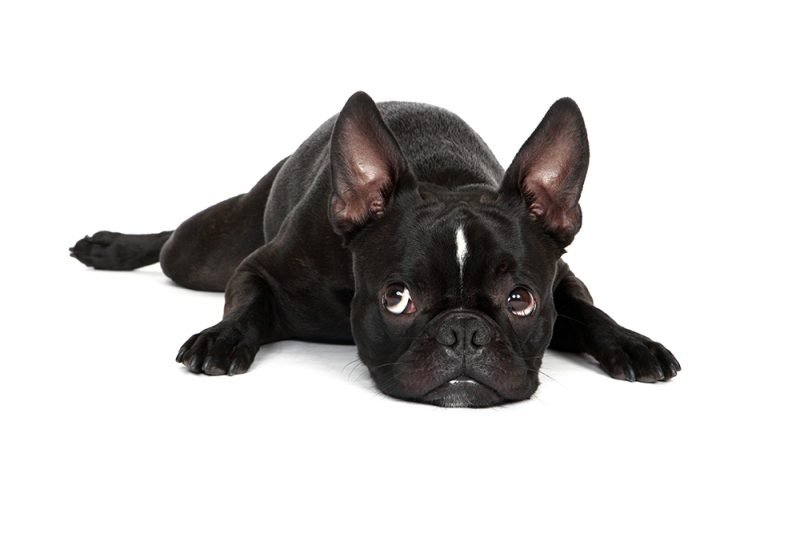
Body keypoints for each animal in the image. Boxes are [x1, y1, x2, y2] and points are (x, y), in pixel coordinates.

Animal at [72, 93, 680, 410]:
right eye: (397, 298)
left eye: (520, 300)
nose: (464, 332)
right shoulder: (259, 268)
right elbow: (244, 304)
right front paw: (221, 338)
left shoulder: (564, 281)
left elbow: (591, 312)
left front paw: (632, 342)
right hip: (205, 248)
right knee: (173, 242)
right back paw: (112, 247)